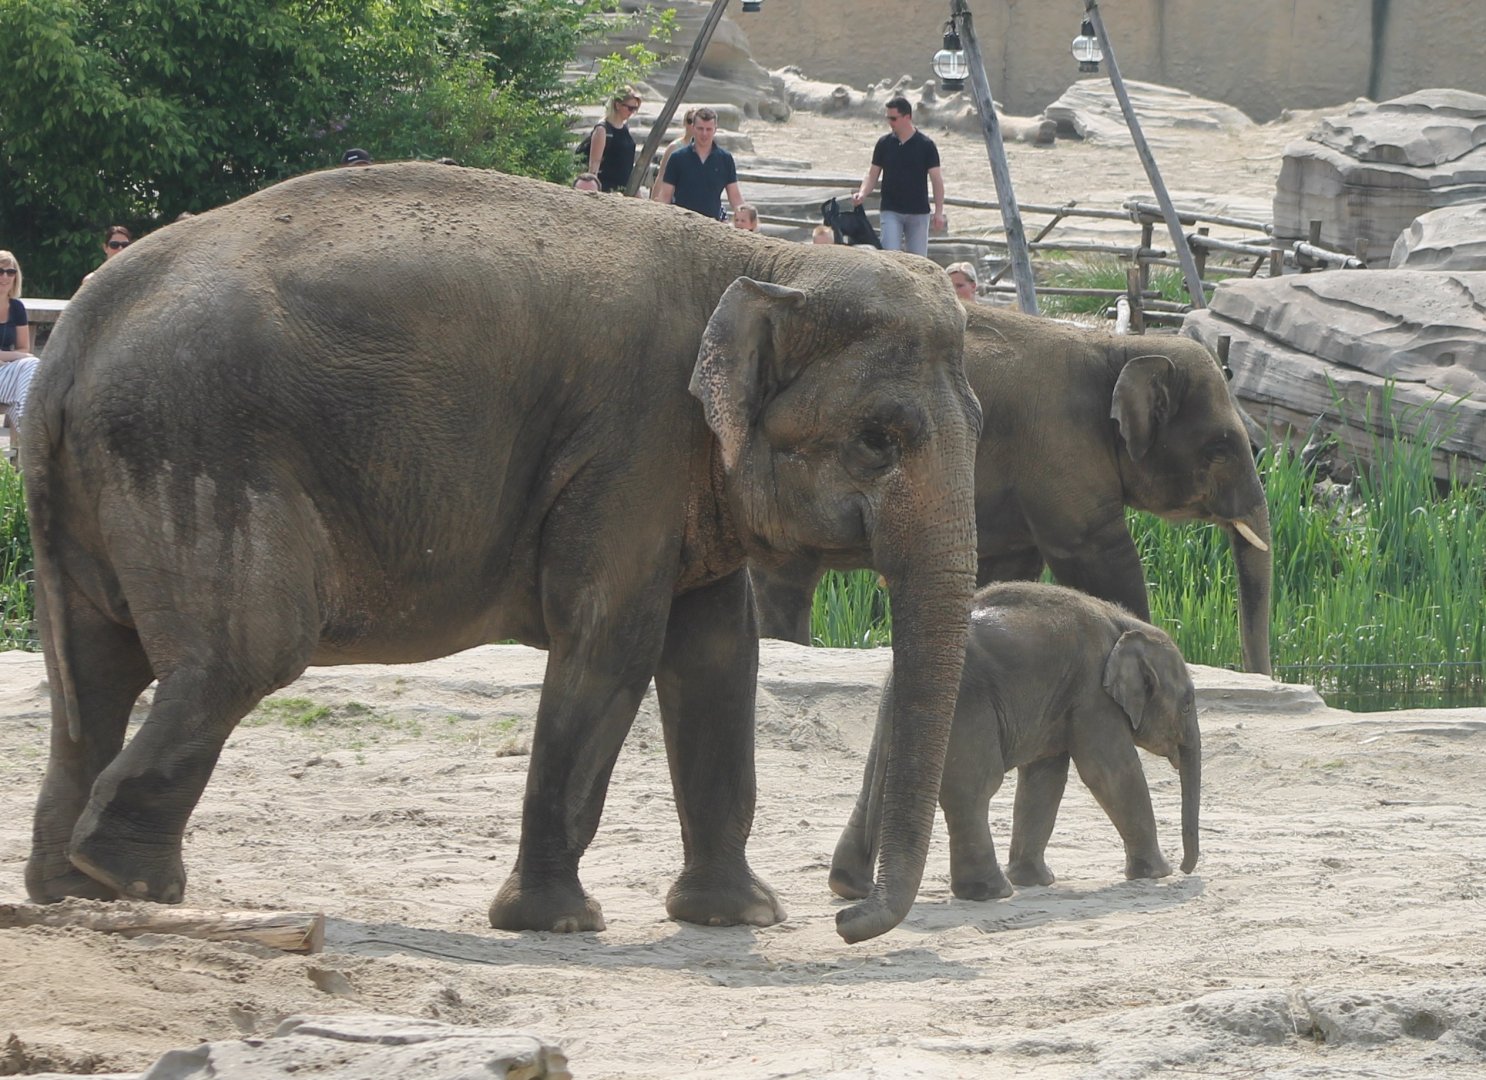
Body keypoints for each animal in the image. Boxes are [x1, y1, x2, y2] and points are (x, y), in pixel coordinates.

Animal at [21, 164, 982, 945]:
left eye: (979, 426)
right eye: (880, 440)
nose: (846, 916)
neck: (763, 263)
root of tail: (73, 331)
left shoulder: (680, 472)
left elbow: (716, 655)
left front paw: (738, 916)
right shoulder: (632, 444)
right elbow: (612, 643)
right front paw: (559, 924)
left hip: (96, 489)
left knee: (98, 672)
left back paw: (73, 892)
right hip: (199, 449)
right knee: (245, 652)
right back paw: (133, 879)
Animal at [752, 304, 1273, 676]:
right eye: (1222, 447)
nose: (1258, 675)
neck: (1118, 348)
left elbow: (1009, 568)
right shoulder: (1060, 444)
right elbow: (1097, 556)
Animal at [829, 582, 1200, 905]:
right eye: (1186, 705)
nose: (1186, 869)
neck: (1125, 623)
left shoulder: (1062, 699)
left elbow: (1045, 777)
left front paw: (1037, 881)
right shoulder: (1093, 694)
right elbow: (1110, 772)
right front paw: (1158, 873)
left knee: (875, 786)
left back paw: (851, 888)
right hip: (969, 706)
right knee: (975, 789)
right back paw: (992, 893)